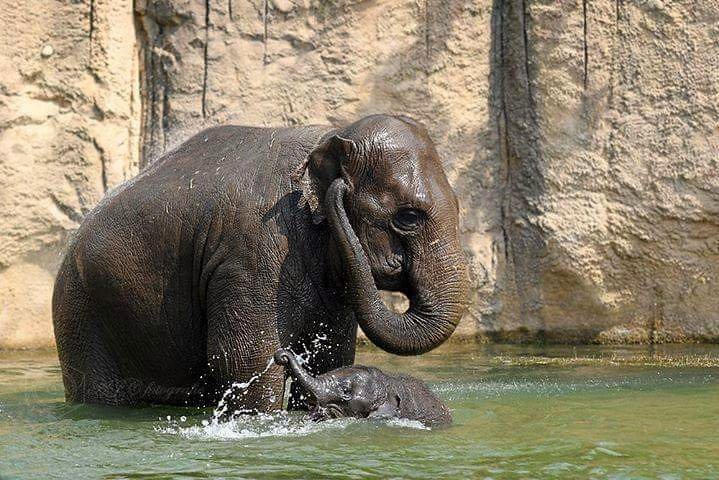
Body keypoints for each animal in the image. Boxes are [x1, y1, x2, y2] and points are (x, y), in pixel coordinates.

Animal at [52, 114, 469, 412]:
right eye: (408, 217)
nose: (340, 189)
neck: (332, 134)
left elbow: (330, 358)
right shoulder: (253, 254)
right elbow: (246, 361)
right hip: (82, 316)